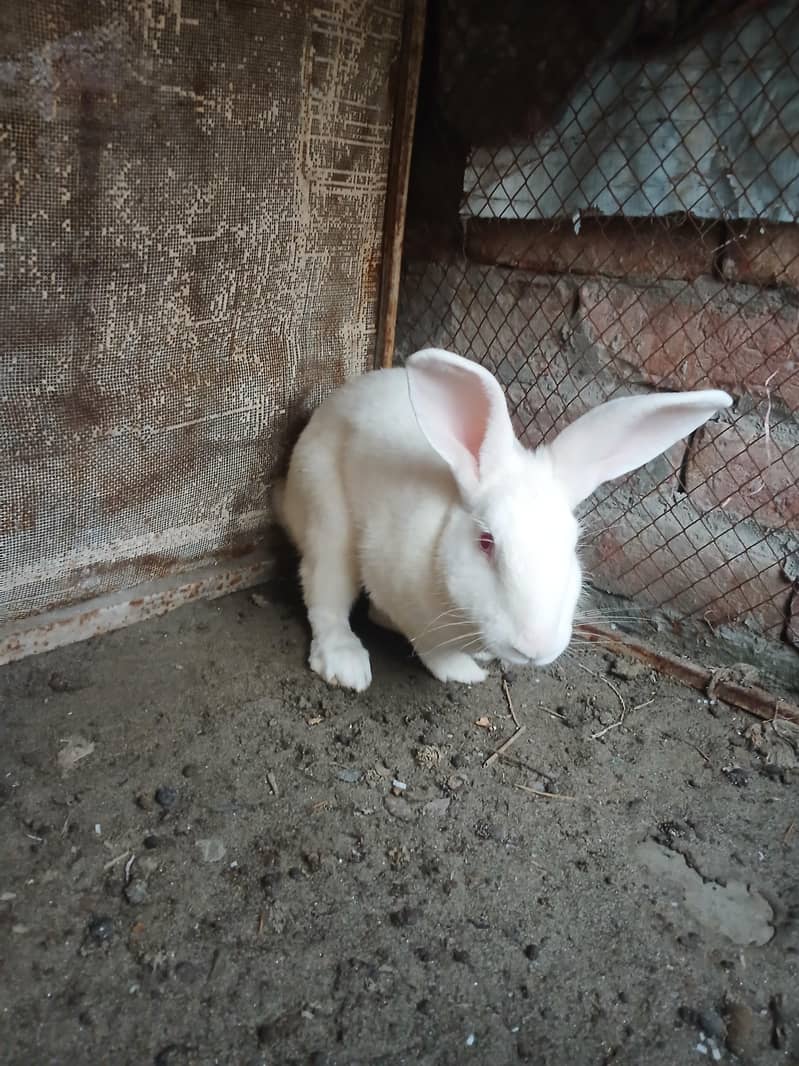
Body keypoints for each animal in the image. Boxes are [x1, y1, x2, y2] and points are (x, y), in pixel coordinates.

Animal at [276, 347, 731, 691]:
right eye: (486, 542)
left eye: (572, 548)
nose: (534, 647)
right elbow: (431, 646)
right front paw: (463, 672)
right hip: (327, 516)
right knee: (324, 592)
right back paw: (345, 665)